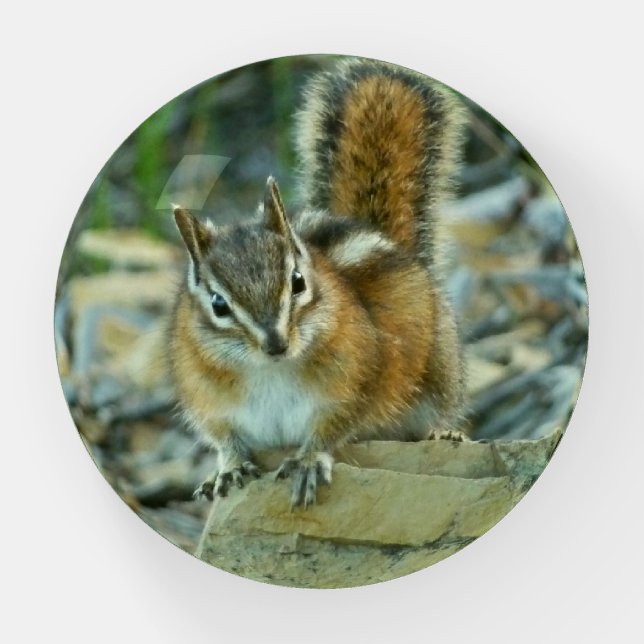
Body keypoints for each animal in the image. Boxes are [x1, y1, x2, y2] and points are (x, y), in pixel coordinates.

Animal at [169, 57, 467, 509]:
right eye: (218, 305)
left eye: (297, 282)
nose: (276, 344)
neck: (269, 371)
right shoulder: (208, 399)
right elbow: (223, 438)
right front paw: (228, 467)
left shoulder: (353, 384)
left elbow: (331, 428)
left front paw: (308, 460)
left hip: (440, 368)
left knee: (440, 409)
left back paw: (443, 432)